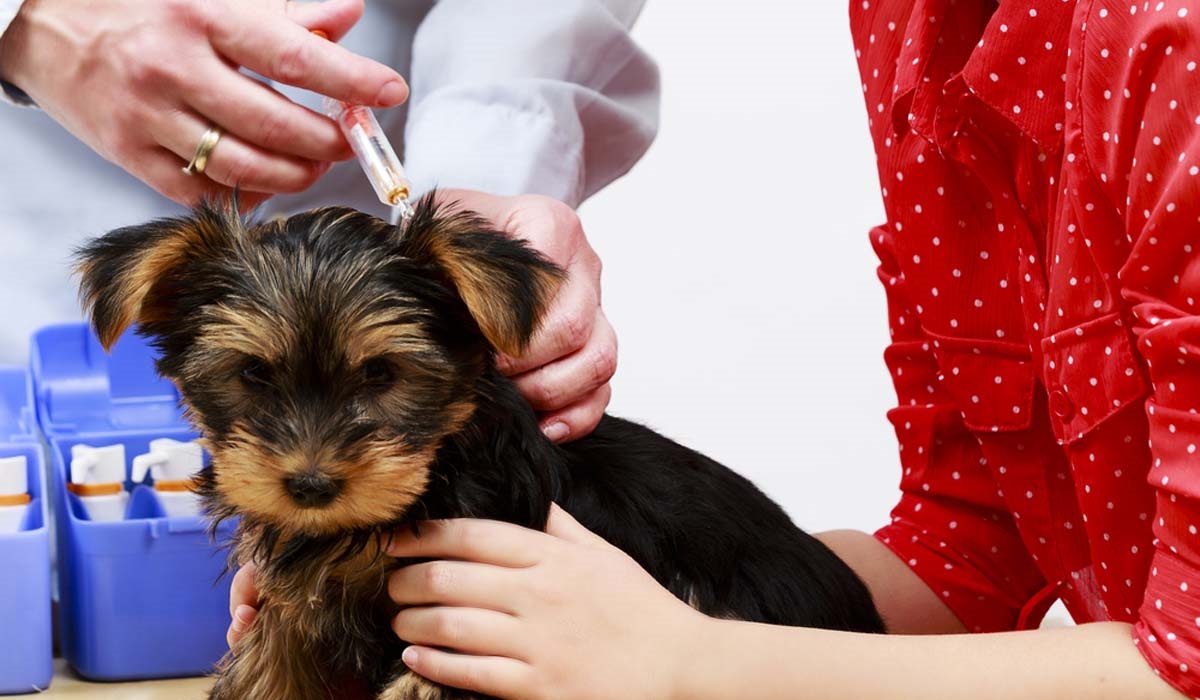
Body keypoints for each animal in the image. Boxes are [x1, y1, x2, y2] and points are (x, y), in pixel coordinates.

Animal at [75, 195, 883, 700]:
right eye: (252, 374)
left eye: (381, 374)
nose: (310, 485)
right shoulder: (296, 615)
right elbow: (268, 676)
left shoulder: (469, 626)